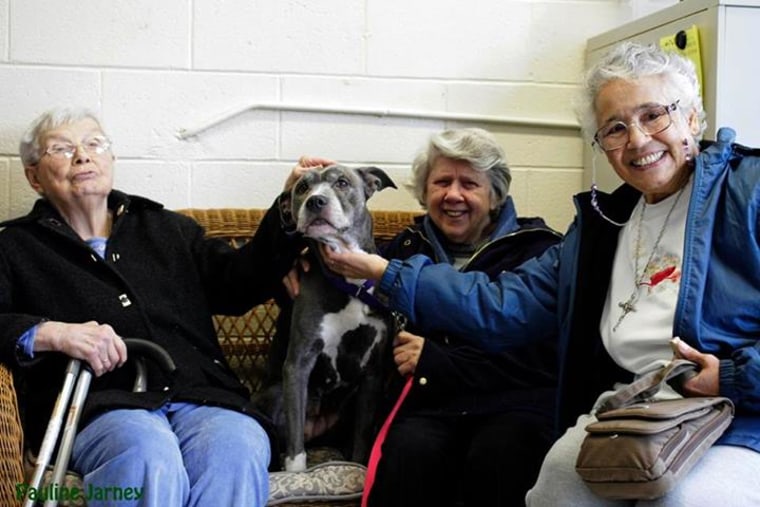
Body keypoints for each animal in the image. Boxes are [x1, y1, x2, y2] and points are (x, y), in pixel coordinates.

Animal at [268, 164, 398, 472]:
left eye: (342, 182)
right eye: (302, 188)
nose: (315, 201)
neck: (350, 284)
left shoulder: (372, 373)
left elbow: (362, 440)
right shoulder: (298, 363)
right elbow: (294, 444)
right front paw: (297, 472)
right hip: (276, 395)